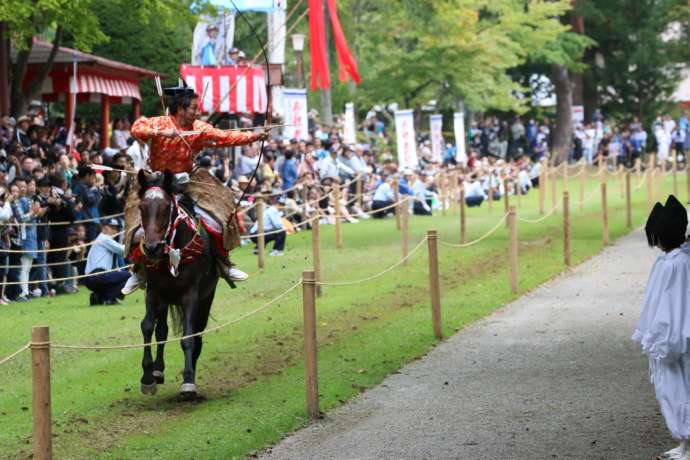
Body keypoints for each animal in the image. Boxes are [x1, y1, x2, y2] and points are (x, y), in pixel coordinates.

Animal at [134, 170, 218, 398]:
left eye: (165, 207)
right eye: (141, 207)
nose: (151, 248)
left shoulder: (191, 295)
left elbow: (189, 337)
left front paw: (188, 381)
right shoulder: (154, 292)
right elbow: (147, 327)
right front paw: (147, 376)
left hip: (206, 298)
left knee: (197, 334)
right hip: (164, 299)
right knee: (161, 330)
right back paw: (157, 371)